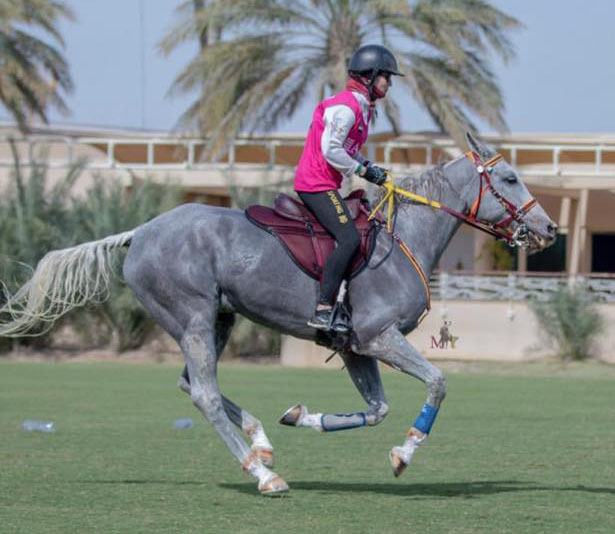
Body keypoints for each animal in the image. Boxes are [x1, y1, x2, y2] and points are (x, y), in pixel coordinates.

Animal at [0, 135, 560, 498]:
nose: (549, 230)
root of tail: (139, 232)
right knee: (203, 393)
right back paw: (263, 475)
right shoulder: (379, 337)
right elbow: (438, 383)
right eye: (510, 176)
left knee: (191, 383)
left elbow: (375, 409)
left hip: (217, 319)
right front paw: (405, 453)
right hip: (194, 316)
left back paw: (262, 443)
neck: (406, 239)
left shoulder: (356, 347)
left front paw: (298, 415)